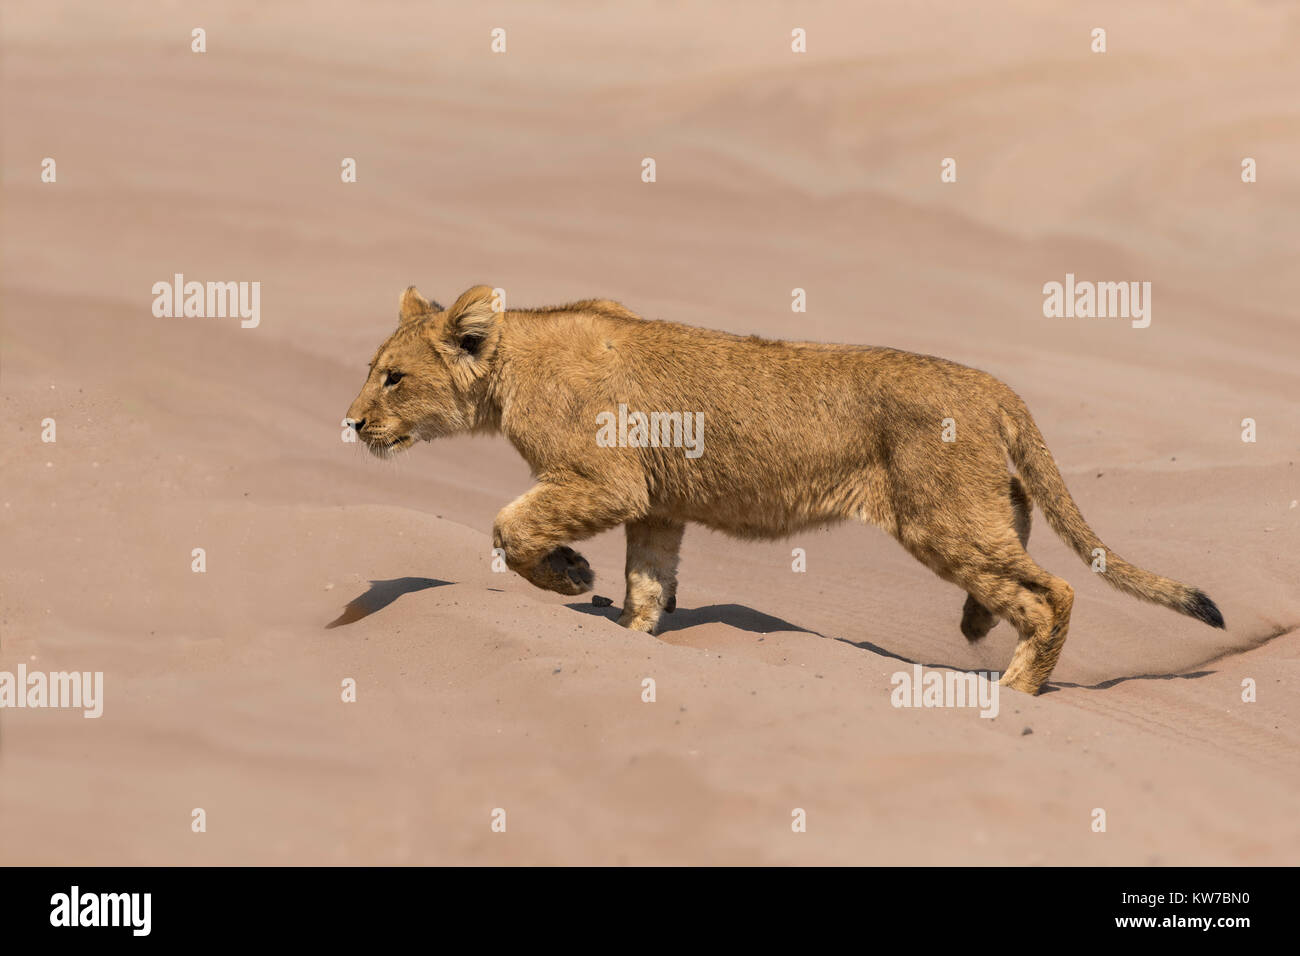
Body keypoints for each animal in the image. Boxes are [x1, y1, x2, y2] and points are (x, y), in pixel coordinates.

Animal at [344, 284, 1224, 694]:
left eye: (393, 378)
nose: (351, 423)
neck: (511, 364)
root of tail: (992, 385)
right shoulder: (656, 506)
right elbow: (647, 584)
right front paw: (628, 634)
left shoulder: (607, 480)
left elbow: (509, 525)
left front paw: (568, 575)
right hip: (973, 506)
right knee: (1022, 546)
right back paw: (982, 630)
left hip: (939, 521)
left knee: (1054, 594)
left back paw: (1012, 692)